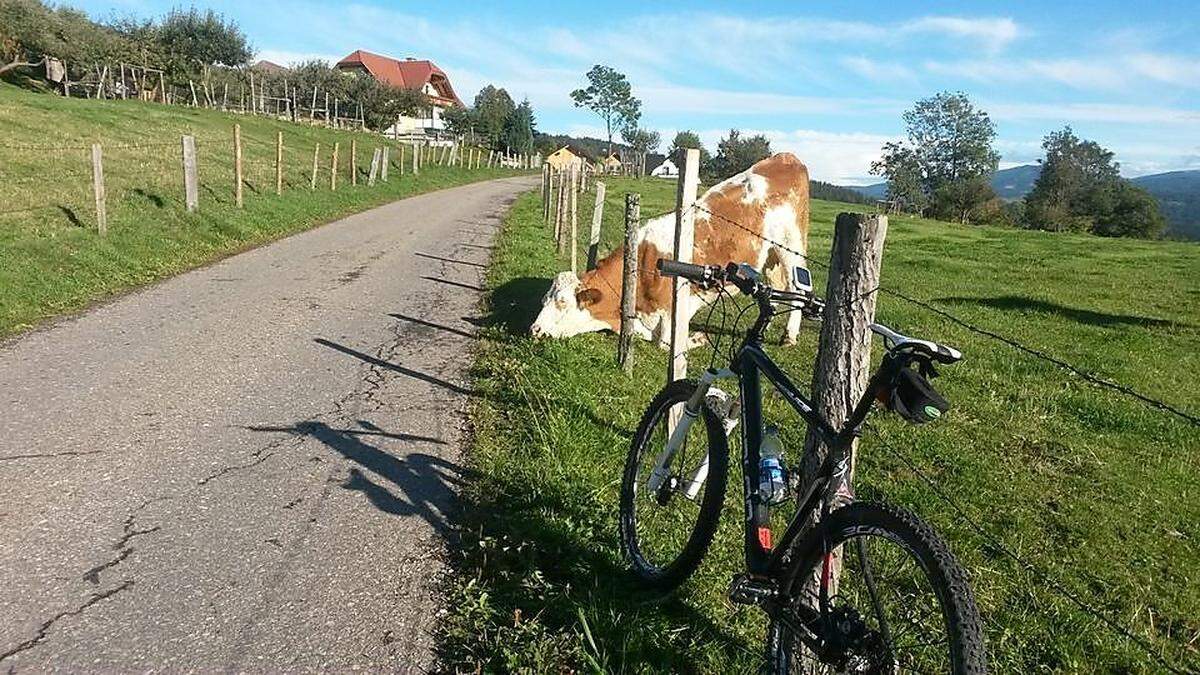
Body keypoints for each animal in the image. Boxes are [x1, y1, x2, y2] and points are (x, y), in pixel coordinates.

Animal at [530, 153, 811, 345]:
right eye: (544, 299)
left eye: (562, 302)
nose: (534, 330)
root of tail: (786, 156)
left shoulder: (672, 316)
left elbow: (665, 344)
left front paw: (697, 339)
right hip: (770, 255)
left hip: (791, 244)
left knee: (798, 287)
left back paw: (789, 335)